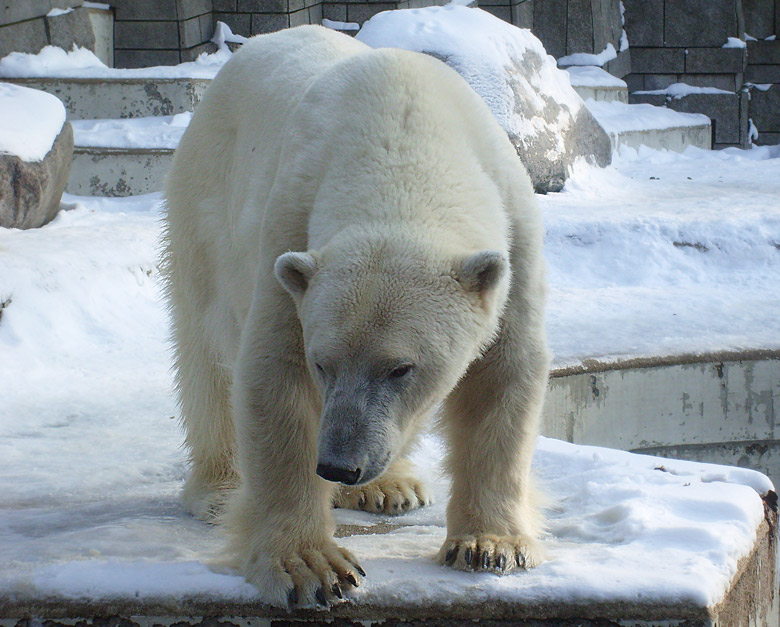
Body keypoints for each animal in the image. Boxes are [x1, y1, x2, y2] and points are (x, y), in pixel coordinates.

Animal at [161, 24, 548, 608]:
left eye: (401, 368)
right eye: (322, 363)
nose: (338, 463)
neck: (402, 144)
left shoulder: (513, 239)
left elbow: (503, 374)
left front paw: (490, 545)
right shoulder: (289, 233)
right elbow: (275, 376)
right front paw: (310, 567)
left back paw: (389, 486)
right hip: (205, 201)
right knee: (205, 349)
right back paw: (221, 489)